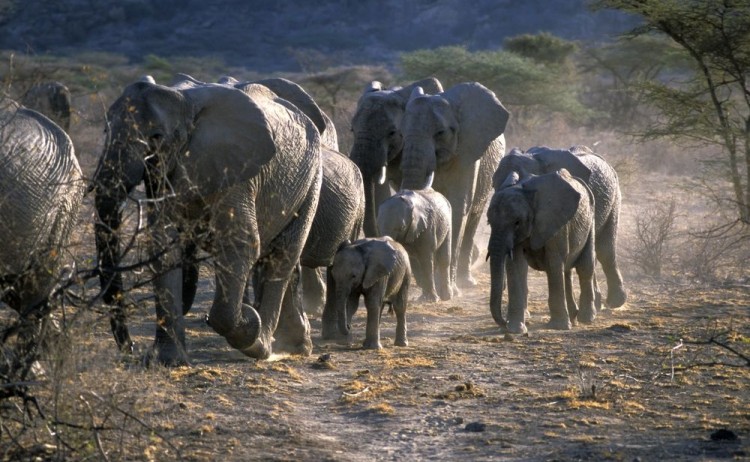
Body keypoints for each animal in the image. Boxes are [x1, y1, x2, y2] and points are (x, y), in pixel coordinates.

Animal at [92, 76, 322, 365]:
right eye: (105, 131)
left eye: (156, 138)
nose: (130, 348)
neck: (186, 106)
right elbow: (162, 246)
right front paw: (168, 362)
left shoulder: (236, 171)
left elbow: (241, 243)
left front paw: (248, 324)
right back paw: (293, 346)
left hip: (311, 179)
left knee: (282, 255)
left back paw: (263, 347)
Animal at [400, 82, 510, 291]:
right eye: (400, 132)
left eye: (441, 133)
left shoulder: (468, 153)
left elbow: (458, 207)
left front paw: (450, 290)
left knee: (473, 219)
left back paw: (465, 282)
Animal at [487, 169, 597, 334]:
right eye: (489, 222)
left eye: (517, 222)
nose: (504, 323)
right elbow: (515, 265)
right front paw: (516, 330)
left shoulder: (554, 222)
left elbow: (553, 262)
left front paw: (558, 327)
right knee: (566, 270)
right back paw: (574, 318)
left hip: (591, 221)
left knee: (584, 267)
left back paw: (586, 318)